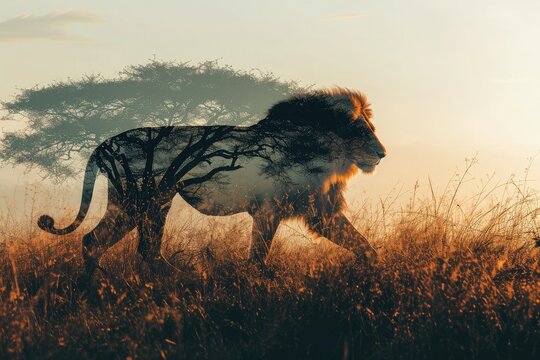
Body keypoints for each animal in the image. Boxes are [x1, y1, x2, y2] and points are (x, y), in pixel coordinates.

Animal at [38, 88, 386, 282]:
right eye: (362, 130)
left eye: (372, 128)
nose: (383, 153)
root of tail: (106, 144)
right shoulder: (269, 210)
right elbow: (258, 255)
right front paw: (264, 281)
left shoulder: (320, 211)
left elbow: (364, 246)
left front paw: (372, 275)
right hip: (143, 199)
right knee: (126, 247)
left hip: (141, 202)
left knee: (109, 244)